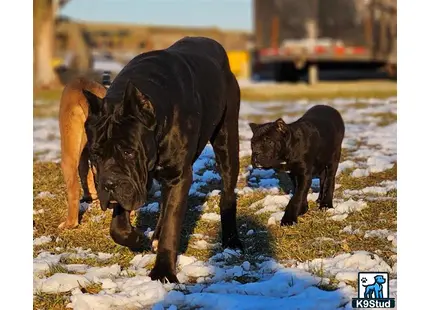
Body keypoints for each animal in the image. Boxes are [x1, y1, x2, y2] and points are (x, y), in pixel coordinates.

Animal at [81, 37, 242, 284]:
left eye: (128, 152)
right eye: (96, 155)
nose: (108, 184)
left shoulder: (178, 176)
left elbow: (171, 225)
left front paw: (164, 272)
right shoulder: (138, 180)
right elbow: (118, 226)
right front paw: (136, 238)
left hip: (227, 142)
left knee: (227, 193)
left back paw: (232, 239)